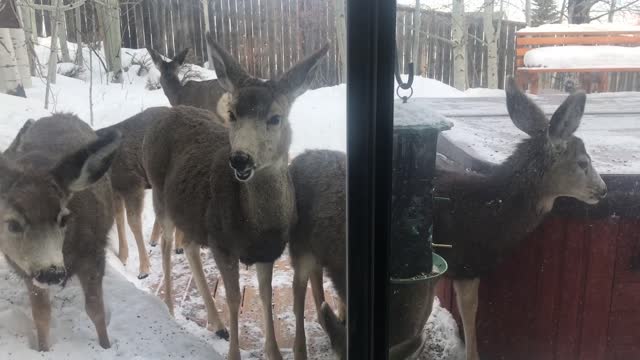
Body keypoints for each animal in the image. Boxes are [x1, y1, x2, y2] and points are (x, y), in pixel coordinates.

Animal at [0, 114, 120, 352]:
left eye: (64, 218)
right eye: (13, 224)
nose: (53, 273)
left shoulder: (93, 253)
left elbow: (96, 310)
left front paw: (106, 347)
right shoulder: (26, 270)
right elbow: (41, 315)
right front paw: (43, 350)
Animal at [142, 34, 328, 360]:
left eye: (275, 117)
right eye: (231, 114)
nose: (240, 159)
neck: (255, 225)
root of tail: (170, 112)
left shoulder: (268, 251)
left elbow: (266, 296)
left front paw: (273, 352)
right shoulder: (222, 244)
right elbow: (231, 298)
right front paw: (233, 353)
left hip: (192, 212)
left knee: (188, 246)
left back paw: (216, 324)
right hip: (160, 195)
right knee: (165, 244)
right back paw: (169, 308)